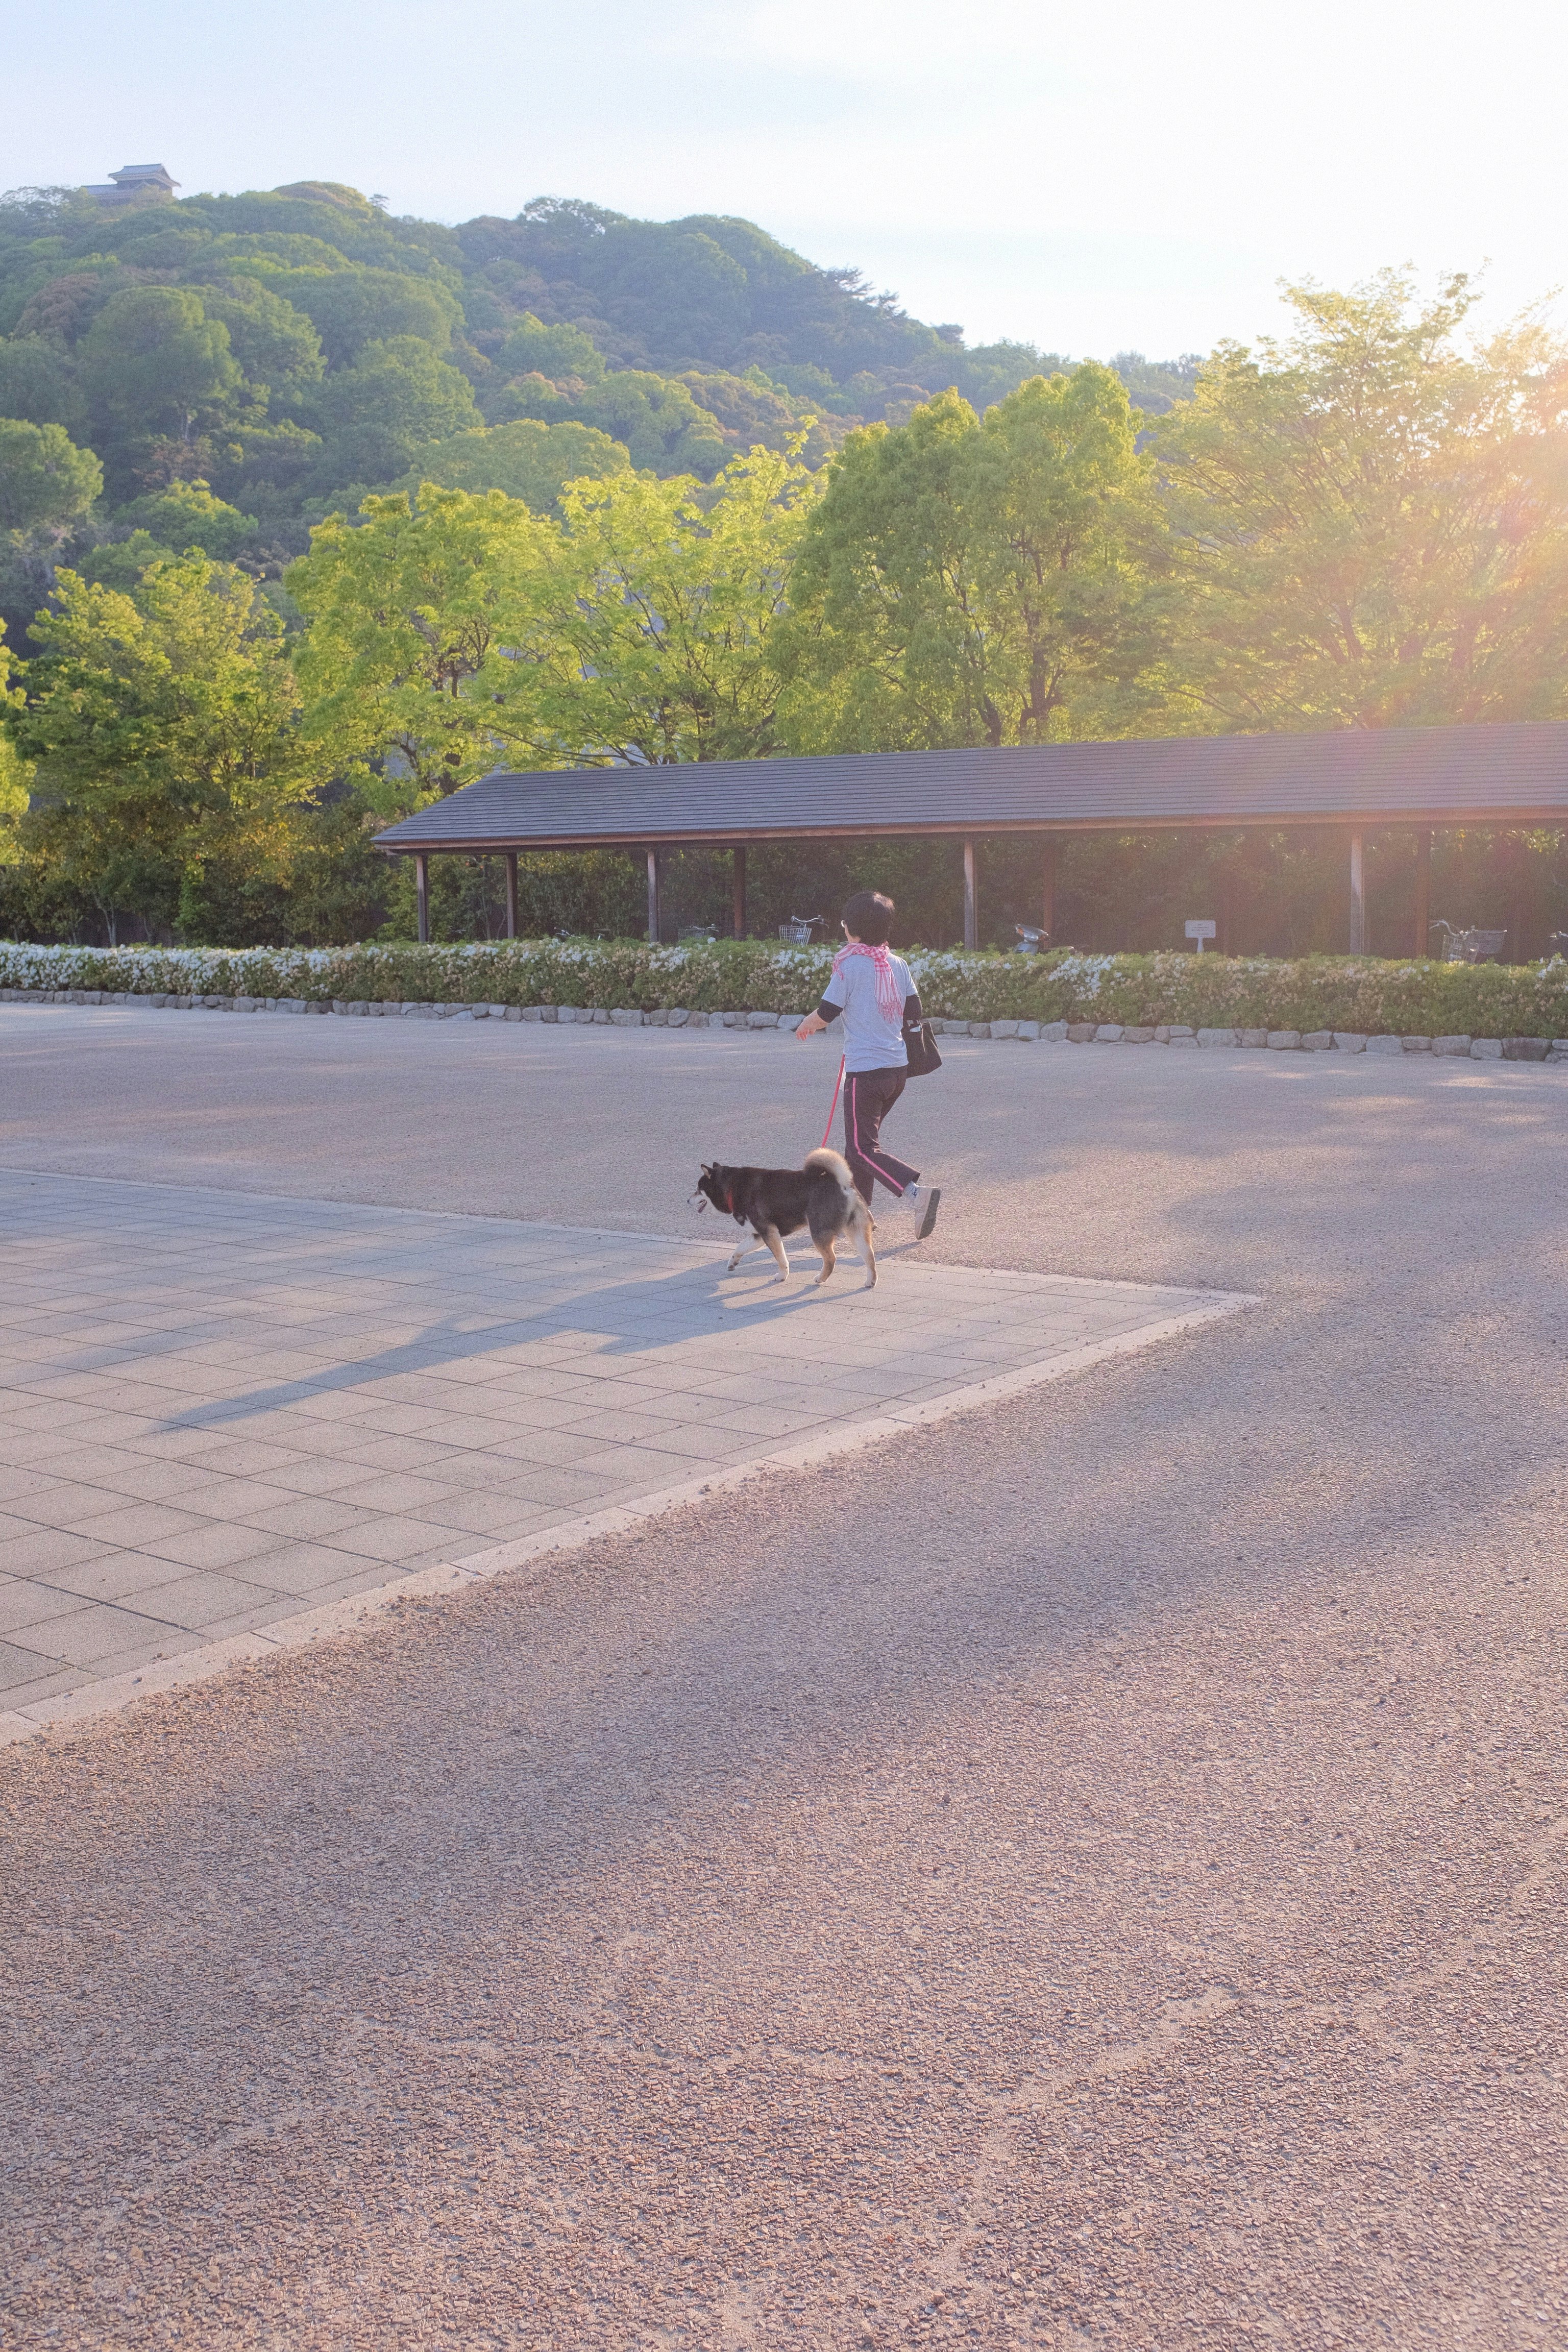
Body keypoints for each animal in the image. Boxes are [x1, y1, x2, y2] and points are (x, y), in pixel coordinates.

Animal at [691, 1143, 879, 1289]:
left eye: (698, 1190)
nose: (687, 1200)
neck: (732, 1188)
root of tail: (843, 1183)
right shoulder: (759, 1235)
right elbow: (740, 1248)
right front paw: (733, 1262)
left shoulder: (769, 1232)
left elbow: (781, 1259)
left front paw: (782, 1276)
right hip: (856, 1232)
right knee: (869, 1256)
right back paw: (870, 1281)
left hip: (819, 1231)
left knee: (831, 1259)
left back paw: (821, 1278)